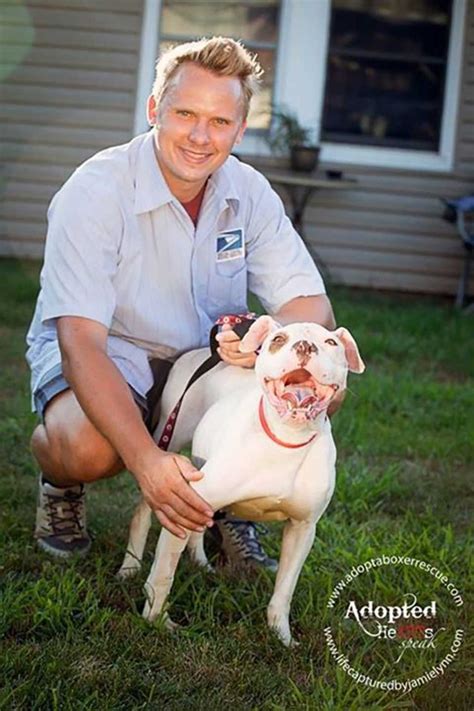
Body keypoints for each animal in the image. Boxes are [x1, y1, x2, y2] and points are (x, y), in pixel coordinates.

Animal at [118, 316, 362, 644]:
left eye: (331, 343)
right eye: (278, 340)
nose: (304, 346)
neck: (286, 437)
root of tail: (201, 353)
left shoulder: (302, 529)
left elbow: (284, 591)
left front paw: (281, 637)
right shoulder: (181, 505)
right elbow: (163, 574)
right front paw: (157, 621)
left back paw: (201, 563)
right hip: (168, 446)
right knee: (143, 510)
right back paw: (129, 567)